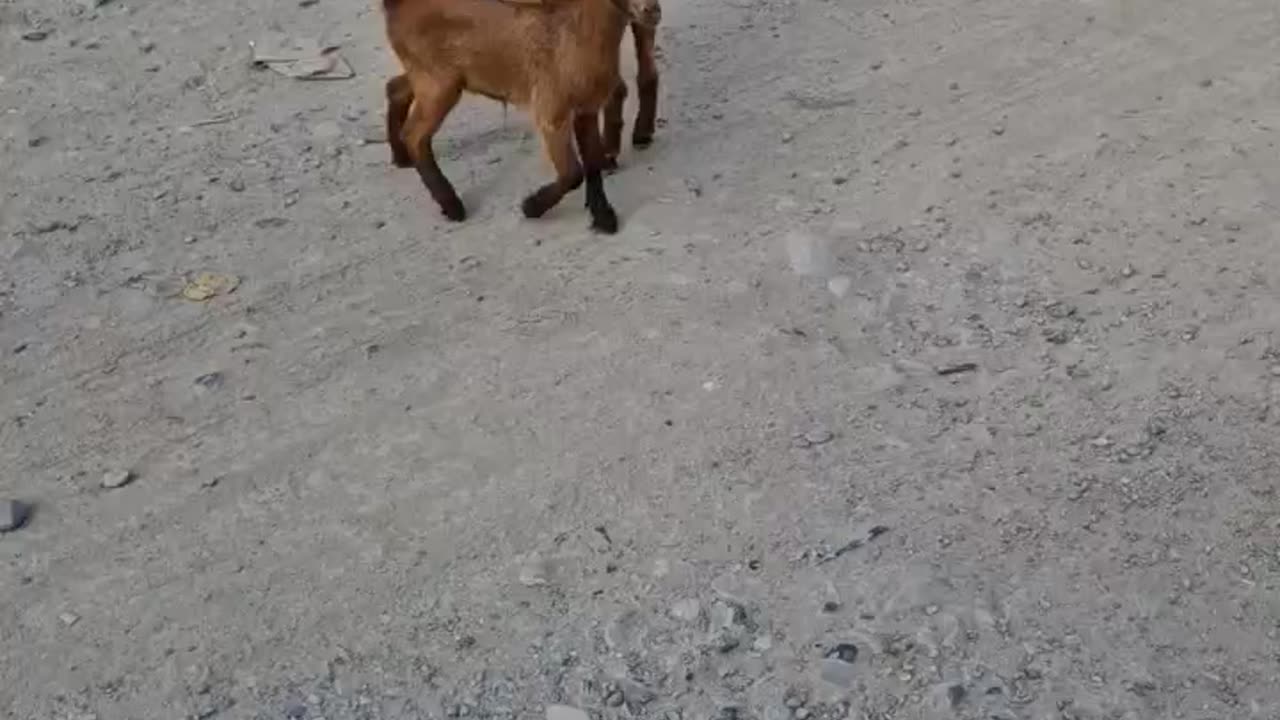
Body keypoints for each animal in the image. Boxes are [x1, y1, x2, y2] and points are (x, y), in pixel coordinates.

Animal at [378, 0, 660, 233]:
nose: (652, 10)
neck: (576, 33)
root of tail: (395, 6)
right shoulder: (551, 111)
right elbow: (572, 173)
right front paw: (531, 206)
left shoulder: (586, 109)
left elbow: (592, 164)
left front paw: (603, 218)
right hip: (438, 82)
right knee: (415, 134)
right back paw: (452, 205)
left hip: (432, 77)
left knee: (395, 89)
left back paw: (401, 157)